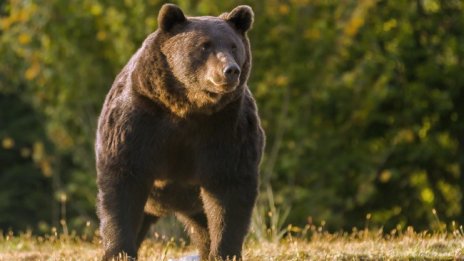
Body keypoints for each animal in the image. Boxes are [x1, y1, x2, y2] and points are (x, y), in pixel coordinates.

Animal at [95, 3, 262, 260]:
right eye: (204, 45)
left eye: (234, 46)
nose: (230, 70)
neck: (188, 106)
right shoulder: (138, 121)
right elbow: (122, 182)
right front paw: (118, 251)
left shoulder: (227, 128)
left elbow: (229, 190)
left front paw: (225, 251)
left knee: (203, 227)